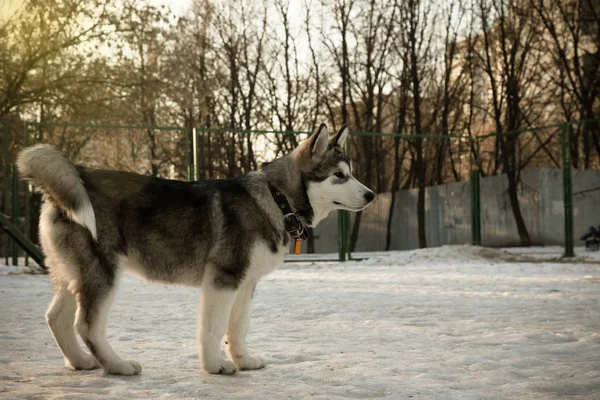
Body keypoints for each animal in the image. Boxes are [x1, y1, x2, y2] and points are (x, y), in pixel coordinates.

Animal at [17, 123, 376, 376]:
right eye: (339, 175)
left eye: (350, 173)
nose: (371, 195)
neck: (278, 199)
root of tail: (79, 174)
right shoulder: (223, 279)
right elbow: (214, 327)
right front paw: (214, 365)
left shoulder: (245, 283)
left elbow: (238, 327)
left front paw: (243, 360)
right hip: (103, 272)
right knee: (87, 325)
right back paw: (117, 365)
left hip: (73, 274)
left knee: (56, 318)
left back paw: (79, 361)